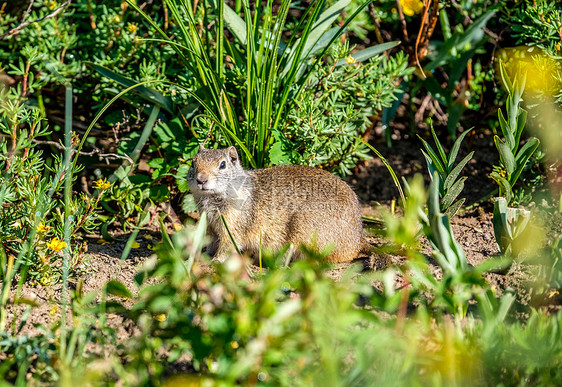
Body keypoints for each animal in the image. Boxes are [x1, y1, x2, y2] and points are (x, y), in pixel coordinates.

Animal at [186, 146, 366, 264]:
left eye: (223, 164)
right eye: (193, 163)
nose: (201, 180)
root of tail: (356, 243)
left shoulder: (232, 227)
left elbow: (227, 246)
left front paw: (215, 261)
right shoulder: (210, 226)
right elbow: (209, 243)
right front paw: (200, 256)